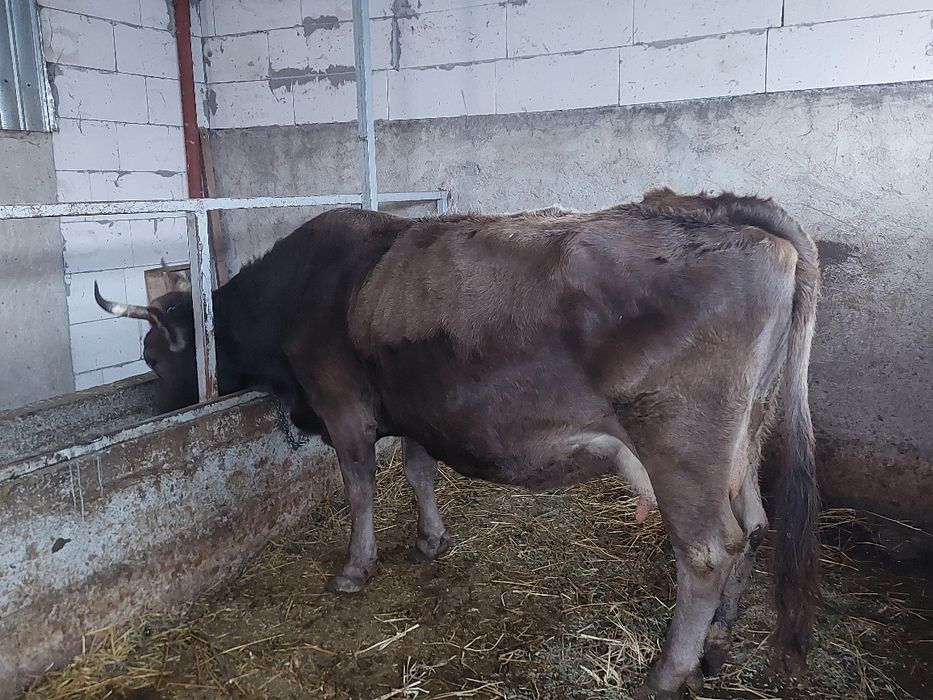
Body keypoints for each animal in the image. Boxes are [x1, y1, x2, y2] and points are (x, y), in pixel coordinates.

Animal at [95, 189, 820, 698]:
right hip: (744, 438)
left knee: (707, 551)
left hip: (680, 443)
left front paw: (355, 568)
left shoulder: (344, 407)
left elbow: (359, 487)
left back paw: (665, 673)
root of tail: (721, 213)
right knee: (753, 527)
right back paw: (717, 641)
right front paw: (430, 541)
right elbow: (418, 473)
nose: (163, 408)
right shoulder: (419, 411)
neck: (302, 291)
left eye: (153, 355)